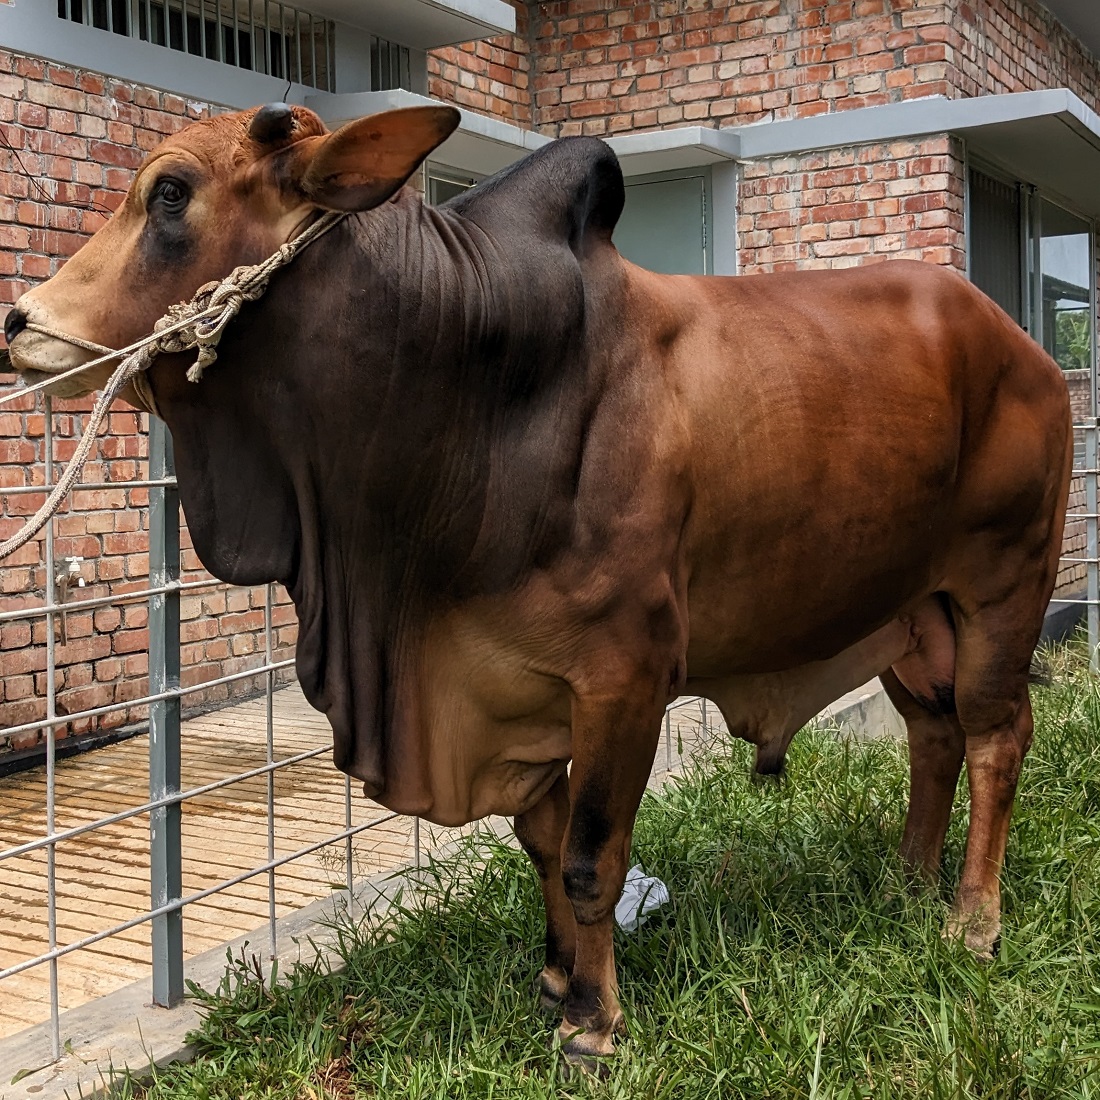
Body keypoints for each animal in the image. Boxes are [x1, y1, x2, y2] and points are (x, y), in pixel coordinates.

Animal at [6, 103, 1073, 1064]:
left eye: (171, 192)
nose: (21, 322)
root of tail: (1023, 347)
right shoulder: (513, 689)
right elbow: (542, 841)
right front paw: (559, 980)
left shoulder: (624, 679)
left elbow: (592, 857)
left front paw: (595, 1026)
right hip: (909, 614)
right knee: (933, 735)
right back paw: (907, 881)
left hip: (1001, 591)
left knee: (996, 736)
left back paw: (972, 921)